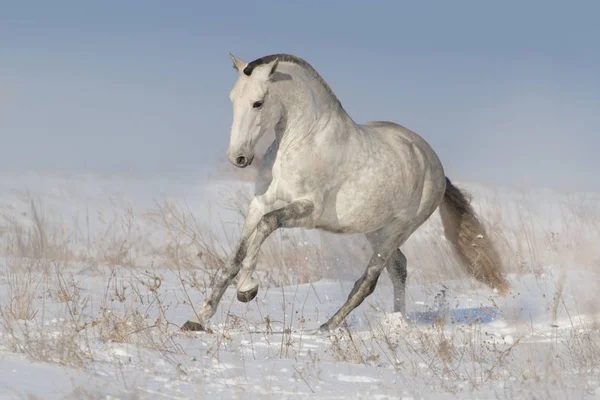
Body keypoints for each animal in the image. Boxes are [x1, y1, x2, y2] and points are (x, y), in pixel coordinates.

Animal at [182, 54, 506, 334]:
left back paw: (328, 327)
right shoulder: (260, 203)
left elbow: (265, 228)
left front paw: (247, 289)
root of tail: (433, 163)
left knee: (369, 280)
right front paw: (197, 319)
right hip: (377, 229)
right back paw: (396, 321)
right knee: (399, 268)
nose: (238, 157)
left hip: (399, 230)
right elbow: (233, 259)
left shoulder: (307, 211)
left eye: (258, 103)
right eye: (232, 99)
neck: (301, 140)